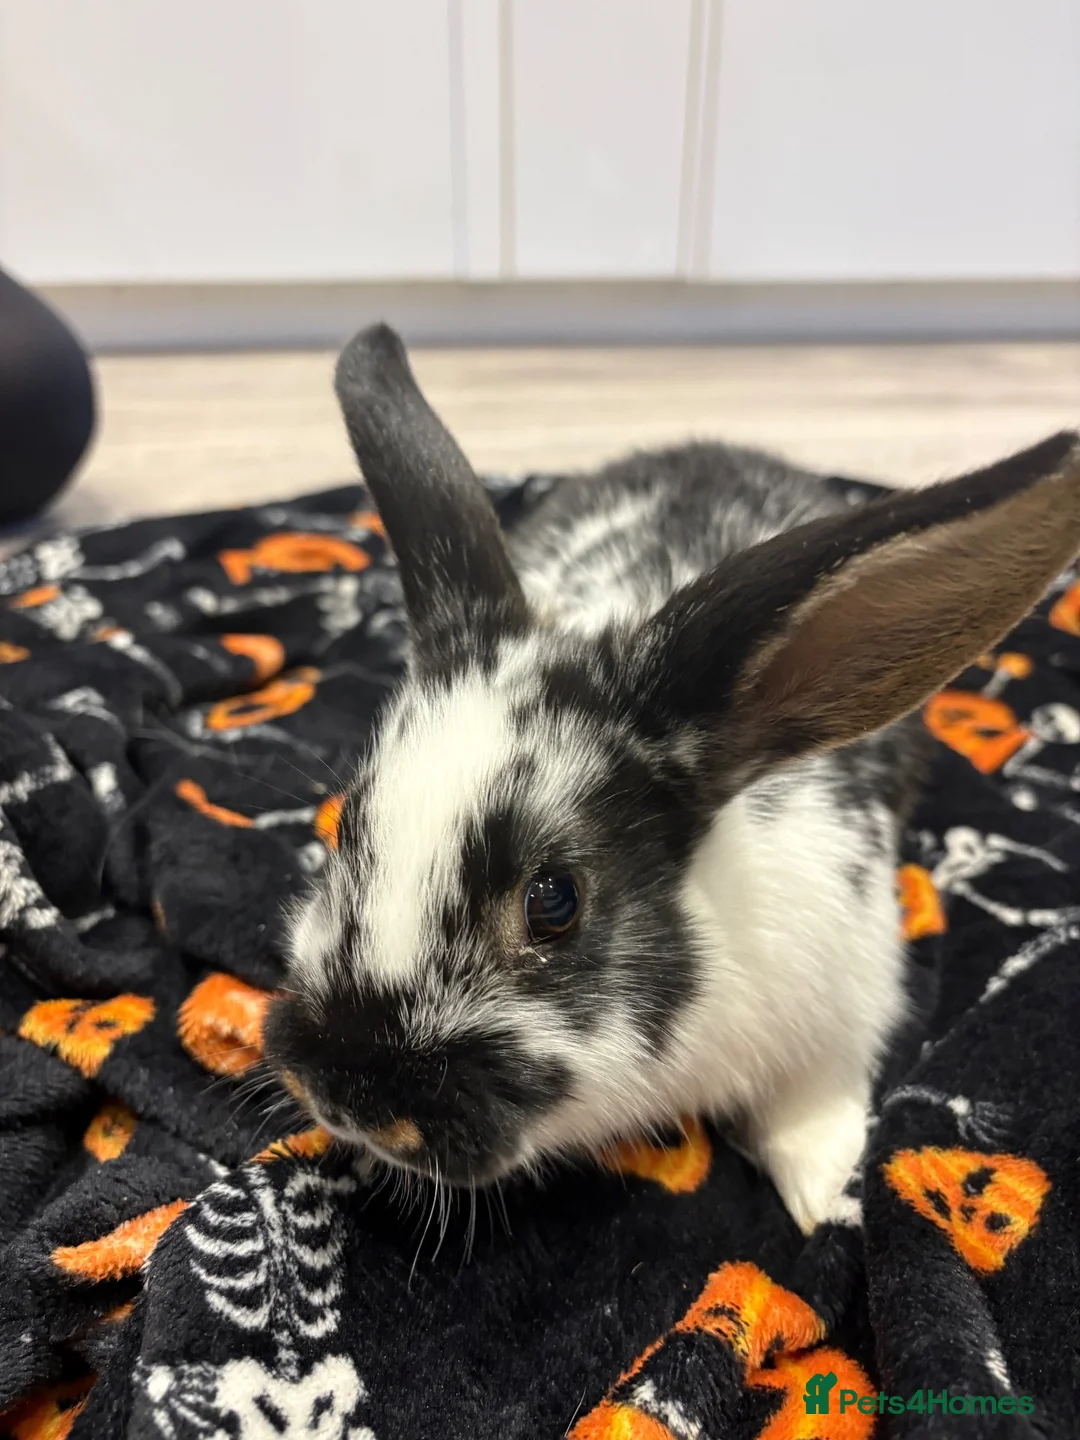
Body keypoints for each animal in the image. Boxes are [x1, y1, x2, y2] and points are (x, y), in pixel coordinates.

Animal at [263, 322, 1080, 1233]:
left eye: (554, 901)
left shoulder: (845, 994)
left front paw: (819, 1191)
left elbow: (813, 1106)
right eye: (344, 825)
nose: (344, 1093)